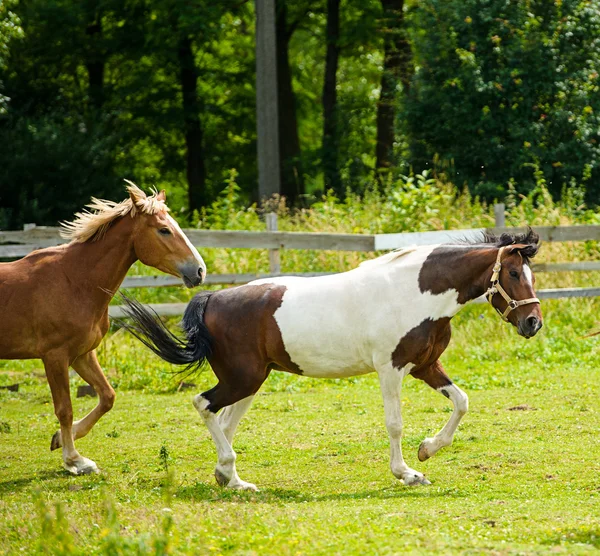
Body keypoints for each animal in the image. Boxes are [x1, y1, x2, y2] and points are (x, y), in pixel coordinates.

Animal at [0, 185, 206, 476]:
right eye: (164, 230)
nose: (199, 271)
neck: (74, 281)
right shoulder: (55, 357)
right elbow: (64, 409)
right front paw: (75, 460)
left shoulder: (82, 354)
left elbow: (108, 396)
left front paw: (60, 439)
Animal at [122, 230, 544, 490]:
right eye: (511, 272)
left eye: (530, 274)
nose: (533, 322)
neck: (415, 293)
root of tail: (211, 299)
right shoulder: (390, 370)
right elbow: (395, 424)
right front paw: (407, 473)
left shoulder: (425, 367)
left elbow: (462, 402)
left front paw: (427, 450)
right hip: (242, 379)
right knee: (203, 404)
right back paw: (229, 473)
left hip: (250, 380)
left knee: (224, 421)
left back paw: (233, 480)